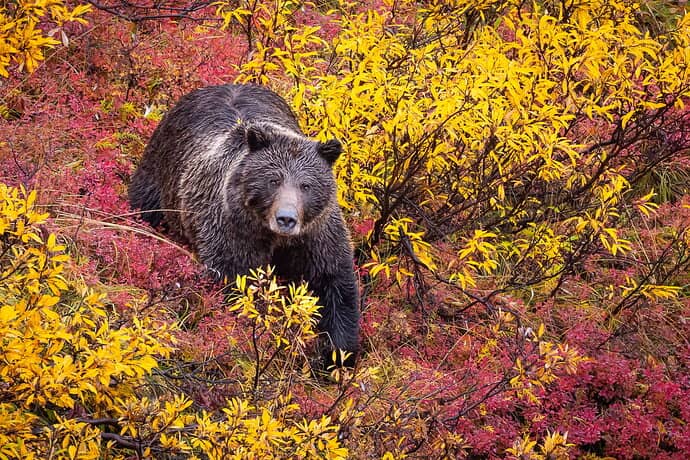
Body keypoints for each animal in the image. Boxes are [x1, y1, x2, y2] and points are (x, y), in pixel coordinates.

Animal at [128, 84, 359, 366]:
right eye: (273, 180)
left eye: (306, 185)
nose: (286, 218)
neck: (274, 236)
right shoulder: (233, 230)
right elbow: (237, 281)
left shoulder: (315, 234)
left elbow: (333, 281)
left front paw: (338, 354)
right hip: (160, 172)